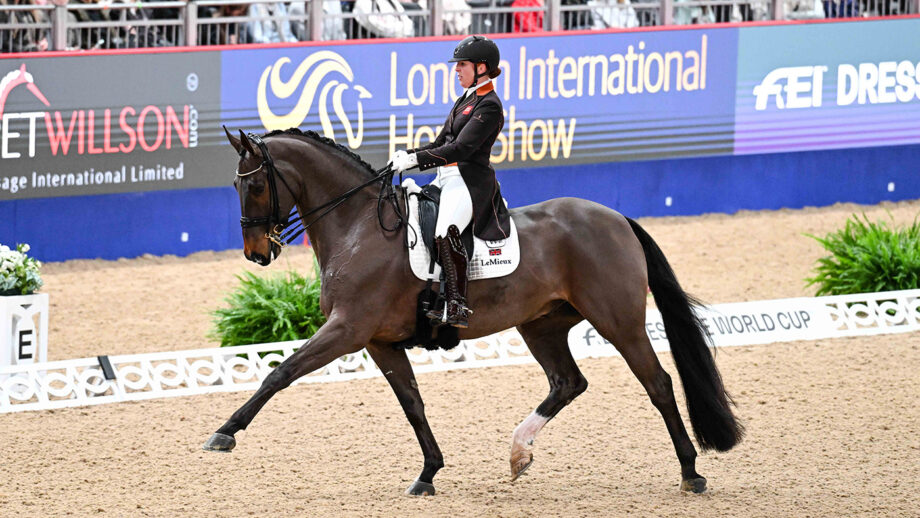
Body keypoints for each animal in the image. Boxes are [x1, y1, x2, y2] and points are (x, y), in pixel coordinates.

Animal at [205, 128, 744, 498]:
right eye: (233, 184)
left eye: (255, 186)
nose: (257, 253)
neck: (358, 226)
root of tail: (616, 218)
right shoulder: (378, 341)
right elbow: (413, 404)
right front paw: (427, 474)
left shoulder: (347, 329)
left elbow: (281, 373)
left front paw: (224, 433)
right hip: (541, 325)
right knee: (568, 383)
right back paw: (519, 452)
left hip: (619, 322)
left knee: (659, 384)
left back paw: (691, 473)